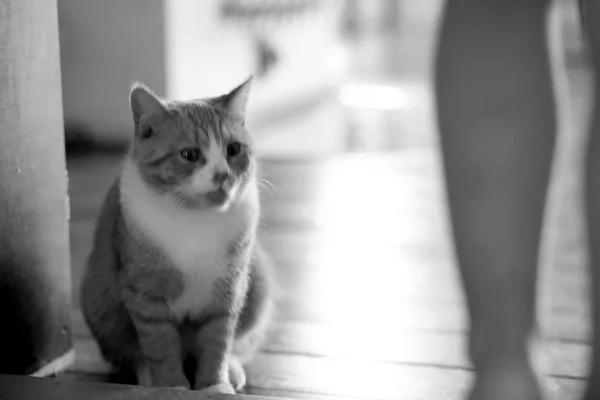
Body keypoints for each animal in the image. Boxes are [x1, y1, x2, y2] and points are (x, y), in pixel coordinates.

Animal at [79, 78, 274, 394]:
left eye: (233, 149)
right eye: (190, 155)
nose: (222, 175)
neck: (196, 220)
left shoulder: (227, 293)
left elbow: (217, 344)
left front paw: (214, 386)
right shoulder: (146, 299)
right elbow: (160, 348)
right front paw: (171, 386)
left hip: (258, 283)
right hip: (99, 303)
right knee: (131, 353)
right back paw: (147, 377)